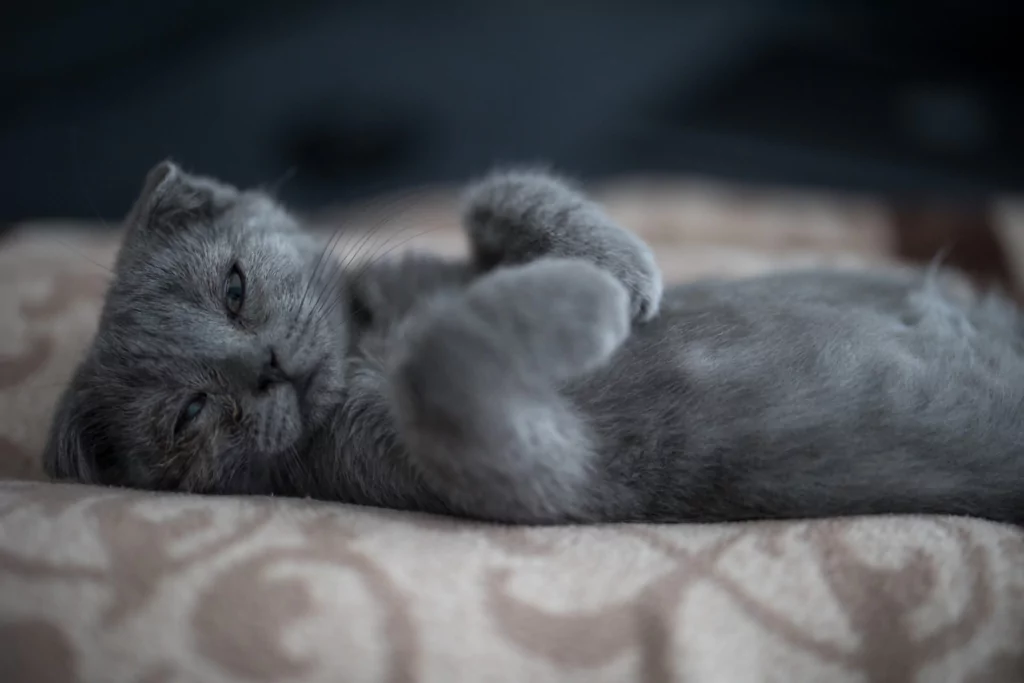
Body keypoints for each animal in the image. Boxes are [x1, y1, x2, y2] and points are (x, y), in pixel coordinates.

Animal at [44, 160, 1024, 524]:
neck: (370, 337)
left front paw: (625, 270)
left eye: (236, 289)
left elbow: (494, 193)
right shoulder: (532, 468)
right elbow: (444, 361)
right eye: (191, 411)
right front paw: (593, 298)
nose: (267, 366)